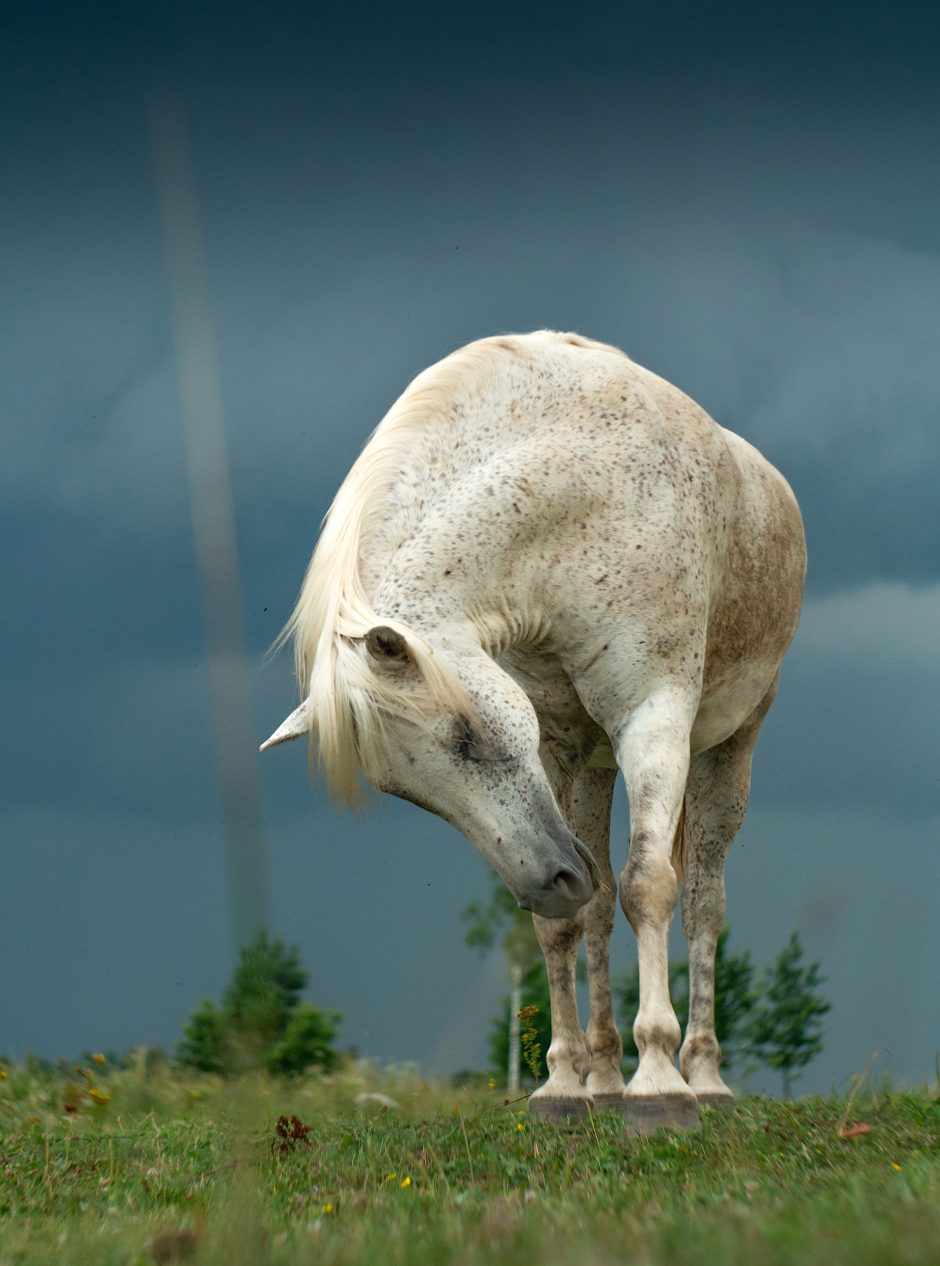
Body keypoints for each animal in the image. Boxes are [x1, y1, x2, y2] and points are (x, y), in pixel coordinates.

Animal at [267, 329, 810, 1129]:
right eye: (404, 791)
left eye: (468, 735)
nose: (553, 883)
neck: (576, 503)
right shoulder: (560, 748)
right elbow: (571, 924)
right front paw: (564, 1086)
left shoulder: (653, 717)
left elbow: (652, 885)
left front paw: (659, 1085)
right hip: (594, 765)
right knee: (603, 904)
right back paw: (604, 1077)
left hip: (727, 750)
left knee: (703, 899)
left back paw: (704, 1076)